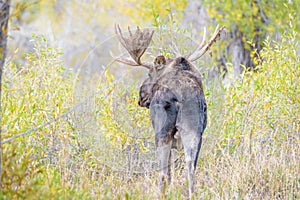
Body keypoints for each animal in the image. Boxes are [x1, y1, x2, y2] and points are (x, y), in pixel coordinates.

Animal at [113, 24, 224, 198]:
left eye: (150, 73)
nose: (141, 97)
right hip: (193, 128)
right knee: (190, 164)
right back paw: (191, 194)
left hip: (162, 130)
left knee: (163, 170)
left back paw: (161, 193)